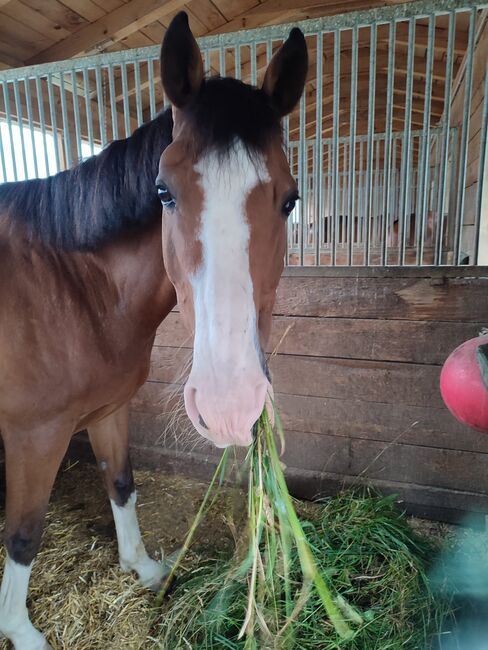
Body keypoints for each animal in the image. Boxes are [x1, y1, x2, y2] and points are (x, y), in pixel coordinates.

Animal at [0, 11, 304, 648]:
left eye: (290, 200)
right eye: (164, 192)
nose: (230, 406)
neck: (68, 285)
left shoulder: (111, 409)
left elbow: (121, 483)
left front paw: (141, 567)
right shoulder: (33, 436)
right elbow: (23, 534)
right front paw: (22, 630)